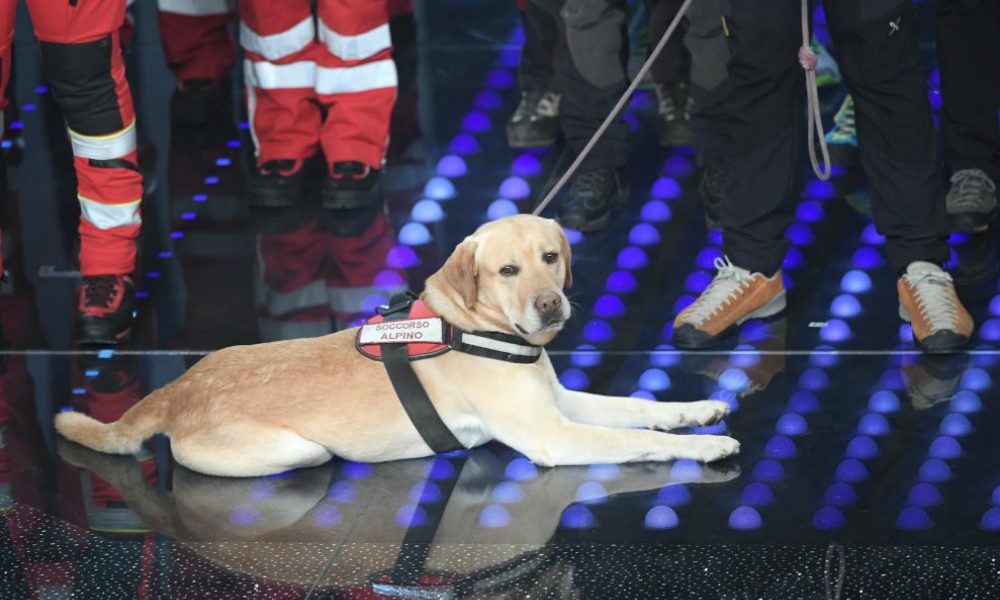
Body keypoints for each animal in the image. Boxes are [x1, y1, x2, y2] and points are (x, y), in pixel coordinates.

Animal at [56, 213, 744, 476]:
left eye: (551, 257)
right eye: (508, 271)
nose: (551, 304)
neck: (474, 325)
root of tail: (174, 391)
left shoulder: (563, 403)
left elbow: (639, 408)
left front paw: (698, 412)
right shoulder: (555, 437)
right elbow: (636, 439)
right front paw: (706, 446)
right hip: (301, 452)